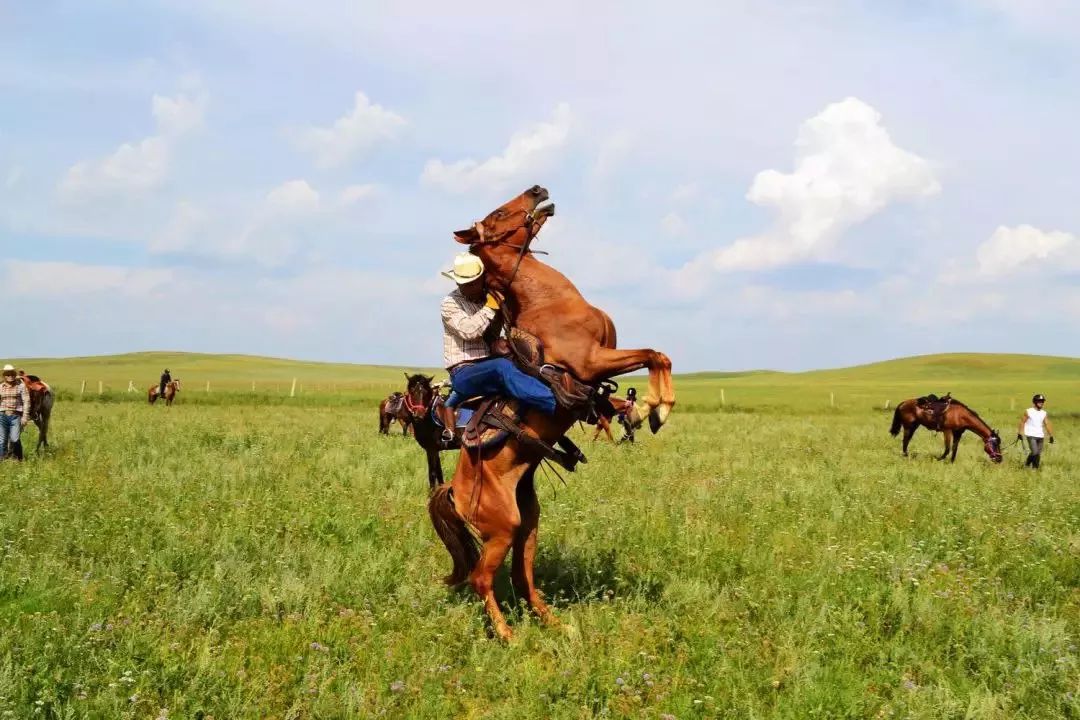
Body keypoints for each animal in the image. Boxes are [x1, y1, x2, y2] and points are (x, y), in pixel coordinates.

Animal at [427, 185, 673, 643]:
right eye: (498, 213)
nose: (538, 190)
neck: (549, 300)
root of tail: (453, 491)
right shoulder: (591, 363)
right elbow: (655, 354)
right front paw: (659, 408)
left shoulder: (598, 373)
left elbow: (648, 364)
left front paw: (640, 411)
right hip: (503, 527)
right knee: (483, 578)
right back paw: (507, 635)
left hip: (529, 524)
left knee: (523, 577)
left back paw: (557, 625)